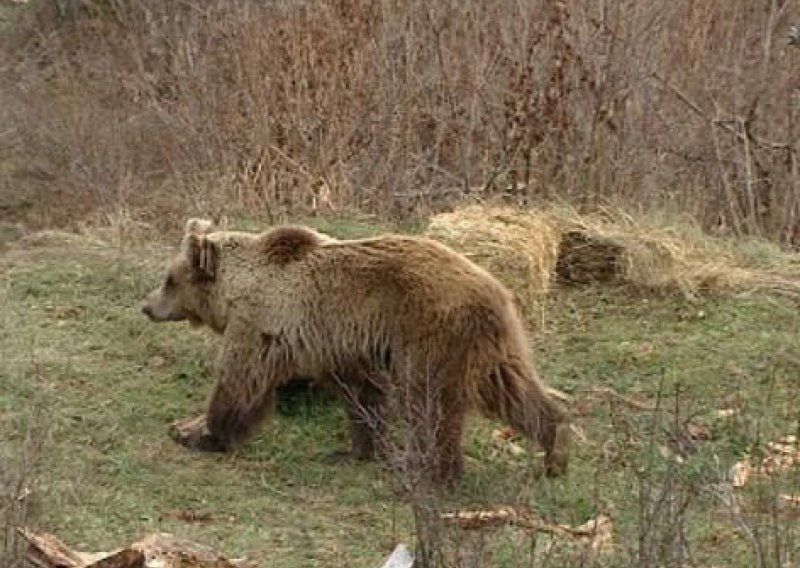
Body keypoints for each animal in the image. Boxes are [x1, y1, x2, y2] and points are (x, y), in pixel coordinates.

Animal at [144, 217, 568, 484]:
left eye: (169, 279)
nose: (147, 305)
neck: (234, 290)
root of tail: (496, 289)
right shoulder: (341, 347)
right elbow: (361, 397)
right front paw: (357, 449)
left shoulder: (261, 324)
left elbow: (240, 381)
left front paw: (202, 433)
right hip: (487, 348)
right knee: (514, 392)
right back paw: (553, 450)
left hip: (431, 336)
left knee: (431, 404)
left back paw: (428, 469)